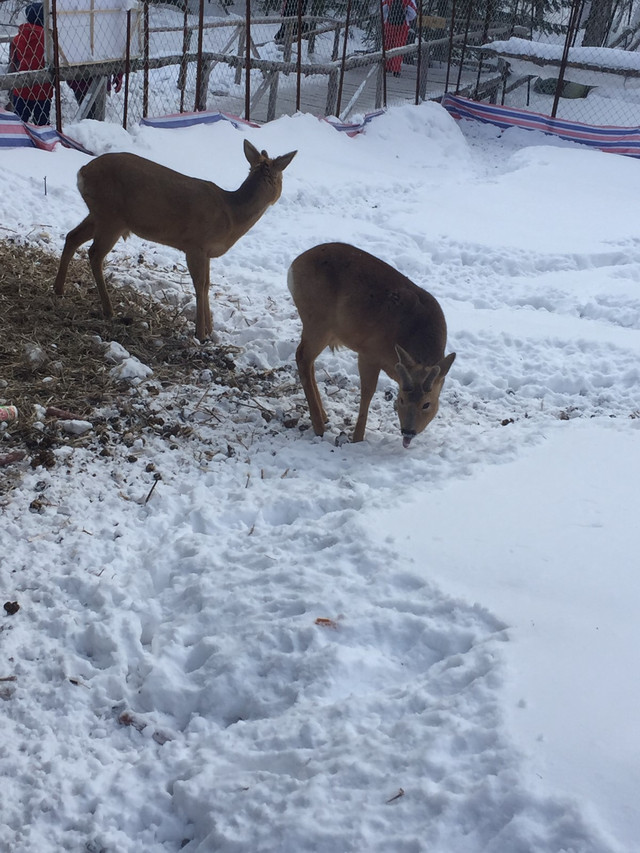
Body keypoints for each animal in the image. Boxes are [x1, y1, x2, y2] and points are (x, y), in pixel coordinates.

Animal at [53, 139, 296, 340]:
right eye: (283, 178)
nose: (278, 196)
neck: (232, 215)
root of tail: (82, 172)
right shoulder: (195, 245)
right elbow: (199, 285)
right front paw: (201, 334)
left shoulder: (207, 252)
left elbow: (207, 284)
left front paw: (210, 329)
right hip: (110, 216)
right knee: (94, 254)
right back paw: (108, 309)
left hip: (100, 215)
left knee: (72, 237)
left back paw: (59, 289)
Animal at [288, 241, 458, 446]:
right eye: (401, 399)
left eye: (427, 404)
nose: (408, 432)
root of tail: (294, 265)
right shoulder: (369, 353)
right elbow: (367, 393)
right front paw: (357, 439)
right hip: (317, 321)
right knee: (302, 357)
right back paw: (319, 426)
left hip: (324, 329)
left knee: (308, 360)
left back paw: (324, 416)